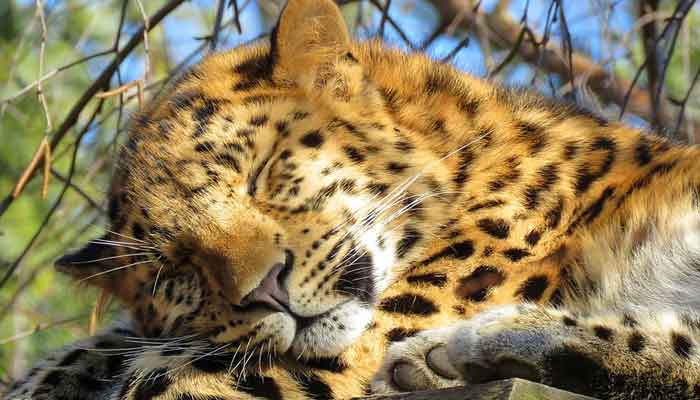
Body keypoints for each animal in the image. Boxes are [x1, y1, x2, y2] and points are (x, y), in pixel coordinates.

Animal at [5, 0, 700, 398]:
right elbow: (148, 344)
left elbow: (181, 376)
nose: (265, 291)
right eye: (176, 270)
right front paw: (52, 376)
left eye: (260, 173)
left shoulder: (338, 355)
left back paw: (470, 347)